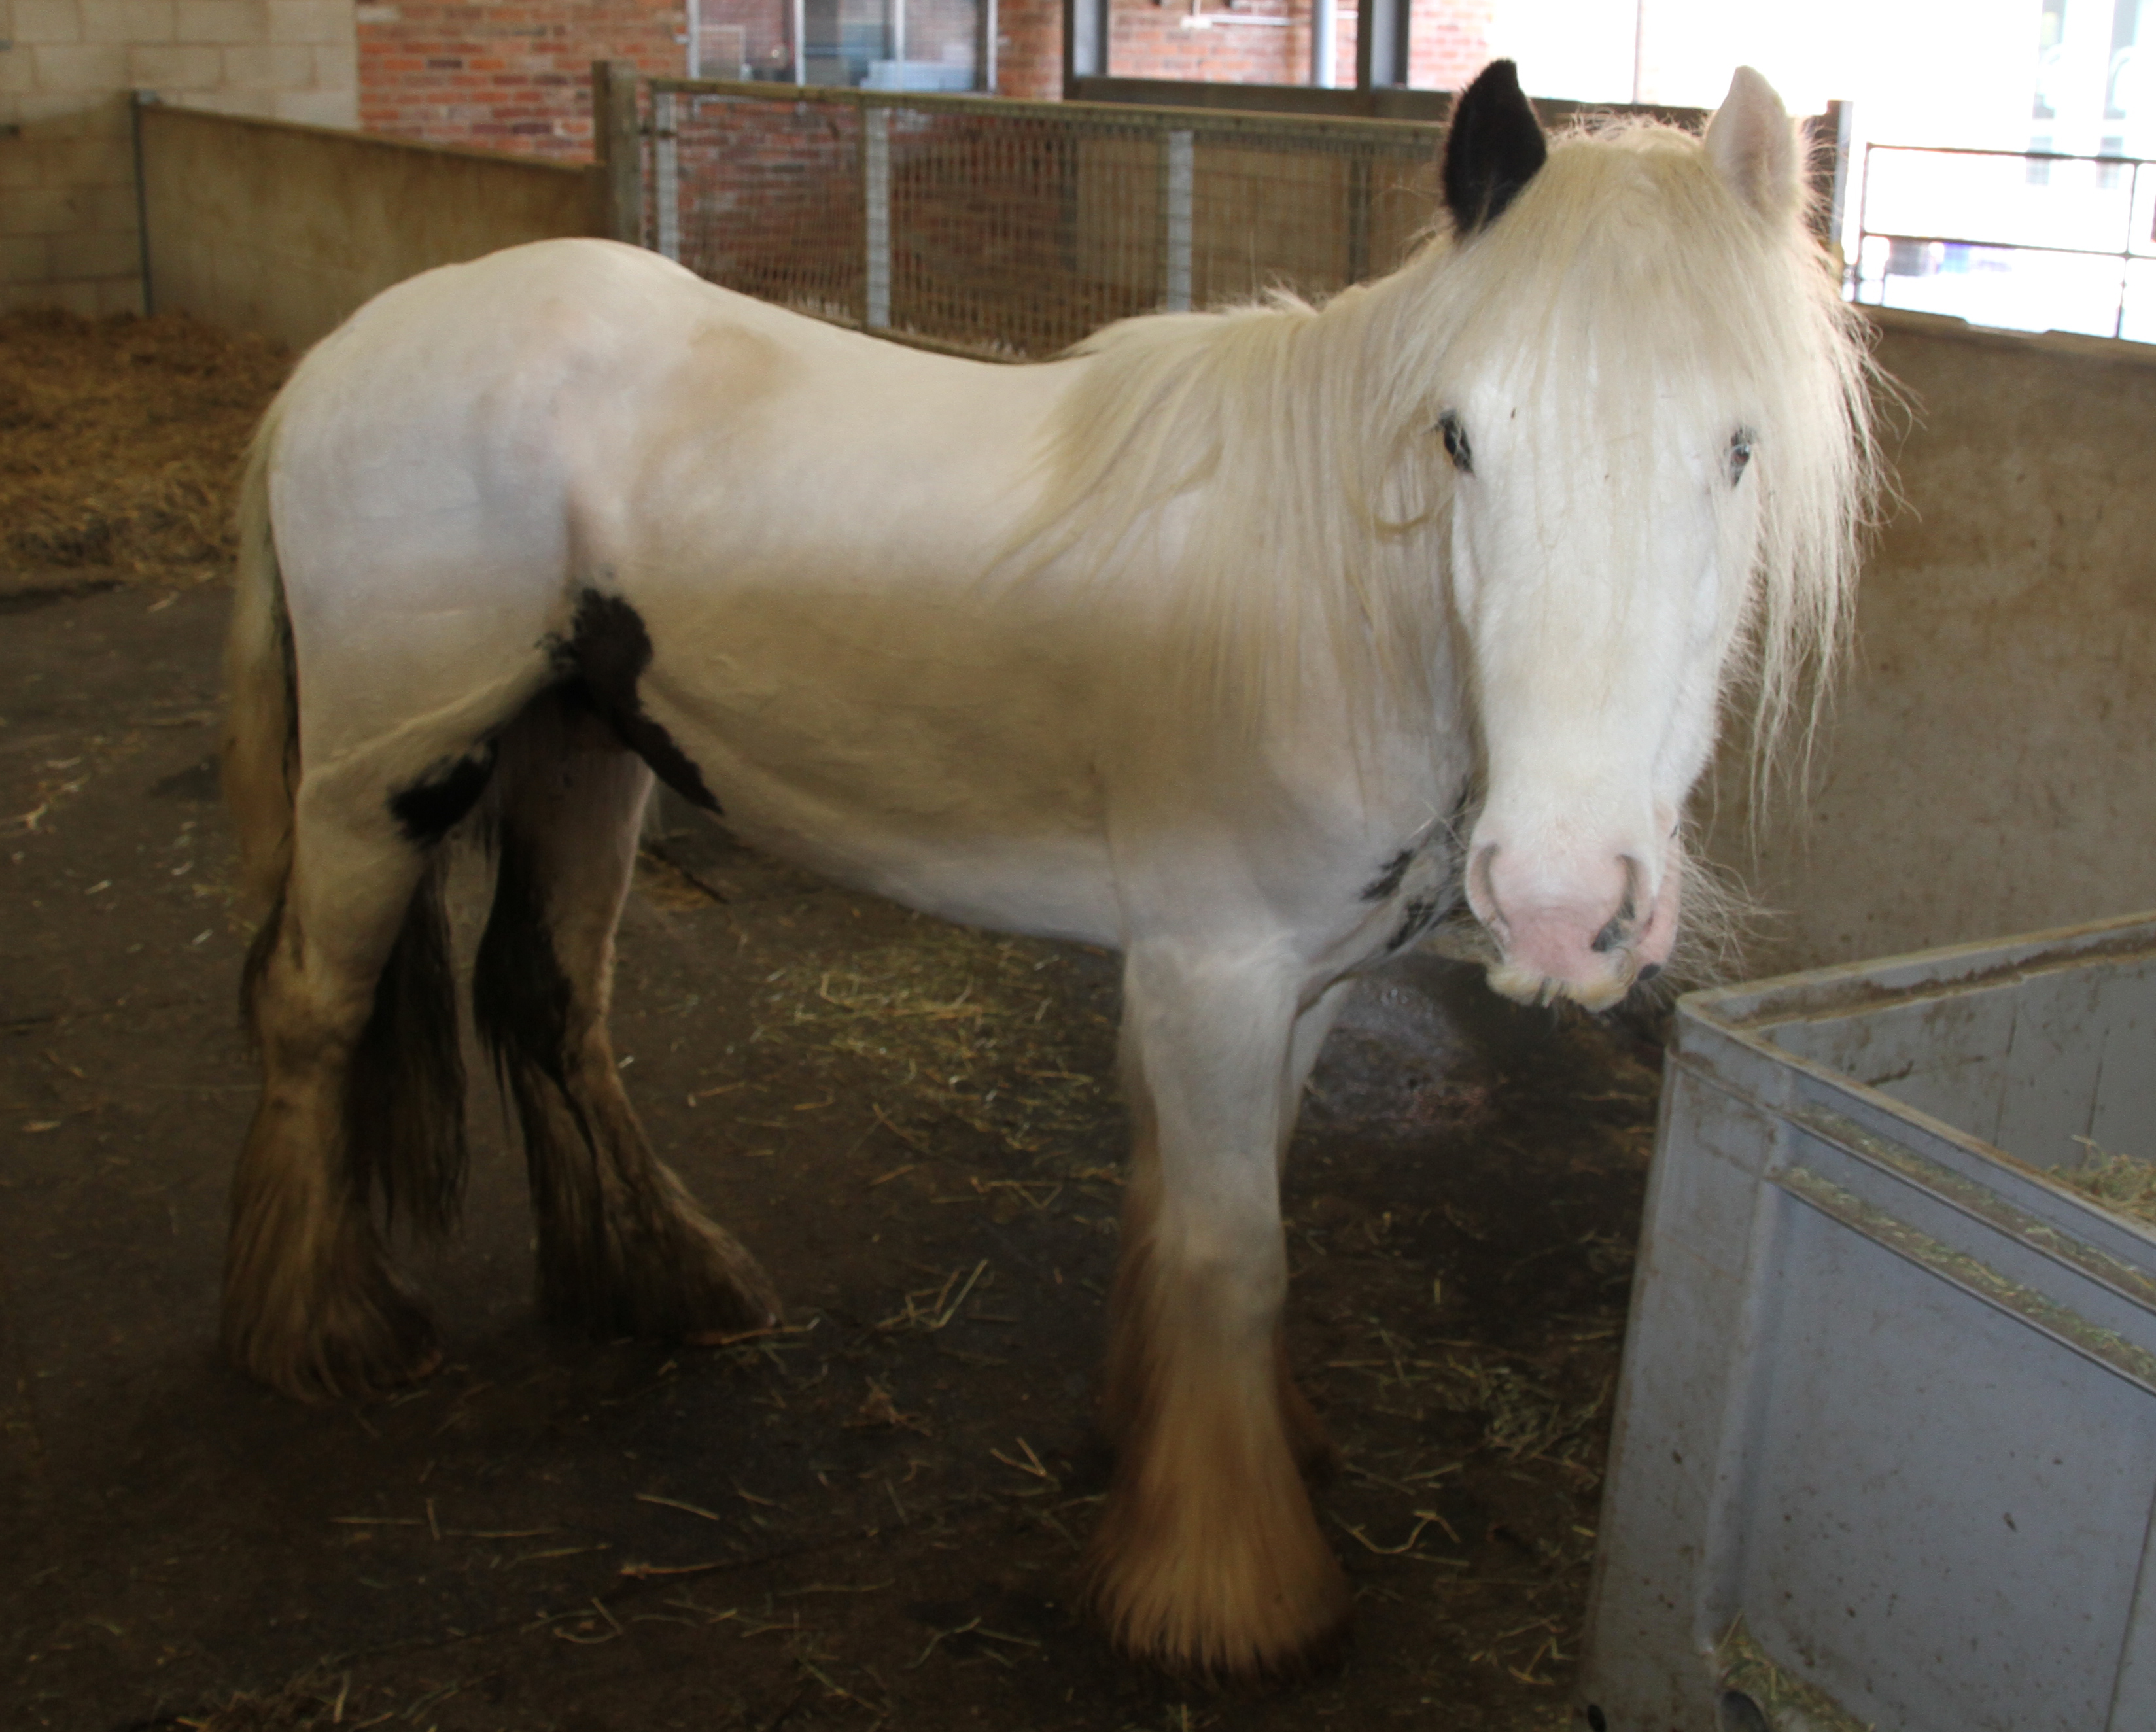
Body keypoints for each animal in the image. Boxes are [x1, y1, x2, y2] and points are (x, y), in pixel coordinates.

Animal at [217, 60, 1875, 1679]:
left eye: (1738, 448)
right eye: (1457, 435)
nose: (1559, 903)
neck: (1329, 604)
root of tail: (340, 356)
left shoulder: (1304, 987)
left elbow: (1222, 1206)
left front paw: (1193, 1443)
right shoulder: (1212, 971)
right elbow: (1231, 1251)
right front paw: (1224, 1592)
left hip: (581, 750)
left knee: (548, 1000)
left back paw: (666, 1283)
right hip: (380, 782)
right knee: (311, 1010)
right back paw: (325, 1332)